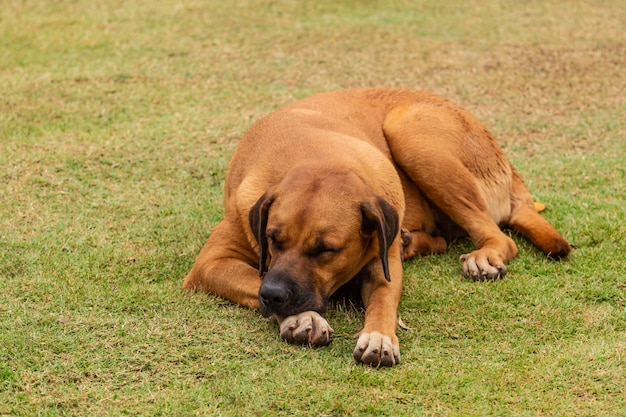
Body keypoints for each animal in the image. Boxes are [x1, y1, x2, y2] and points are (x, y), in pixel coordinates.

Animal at [182, 87, 572, 364]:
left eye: (325, 250)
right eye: (272, 239)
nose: (274, 296)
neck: (314, 152)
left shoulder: (383, 264)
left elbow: (384, 300)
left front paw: (380, 337)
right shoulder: (211, 265)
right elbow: (255, 277)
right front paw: (302, 318)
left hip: (412, 134)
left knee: (500, 238)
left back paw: (481, 256)